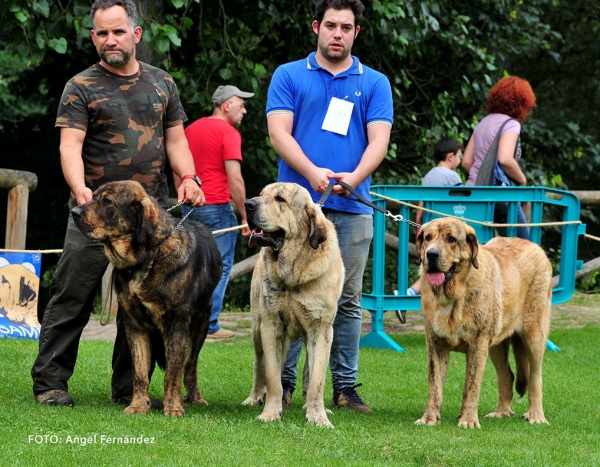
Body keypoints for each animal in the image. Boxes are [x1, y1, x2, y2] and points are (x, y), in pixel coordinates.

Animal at [72, 181, 221, 418]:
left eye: (107, 201)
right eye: (92, 196)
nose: (74, 212)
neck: (146, 258)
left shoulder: (176, 324)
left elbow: (173, 373)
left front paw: (173, 407)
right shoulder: (135, 326)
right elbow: (139, 372)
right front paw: (138, 405)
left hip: (200, 325)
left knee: (190, 365)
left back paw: (195, 398)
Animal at [414, 218, 552, 430]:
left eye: (451, 239)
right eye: (428, 238)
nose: (431, 254)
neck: (454, 296)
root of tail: (536, 247)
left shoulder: (478, 345)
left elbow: (471, 386)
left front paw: (468, 420)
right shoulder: (435, 344)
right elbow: (434, 385)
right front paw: (429, 418)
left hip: (533, 335)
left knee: (535, 377)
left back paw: (536, 416)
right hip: (496, 344)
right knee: (507, 375)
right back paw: (501, 412)